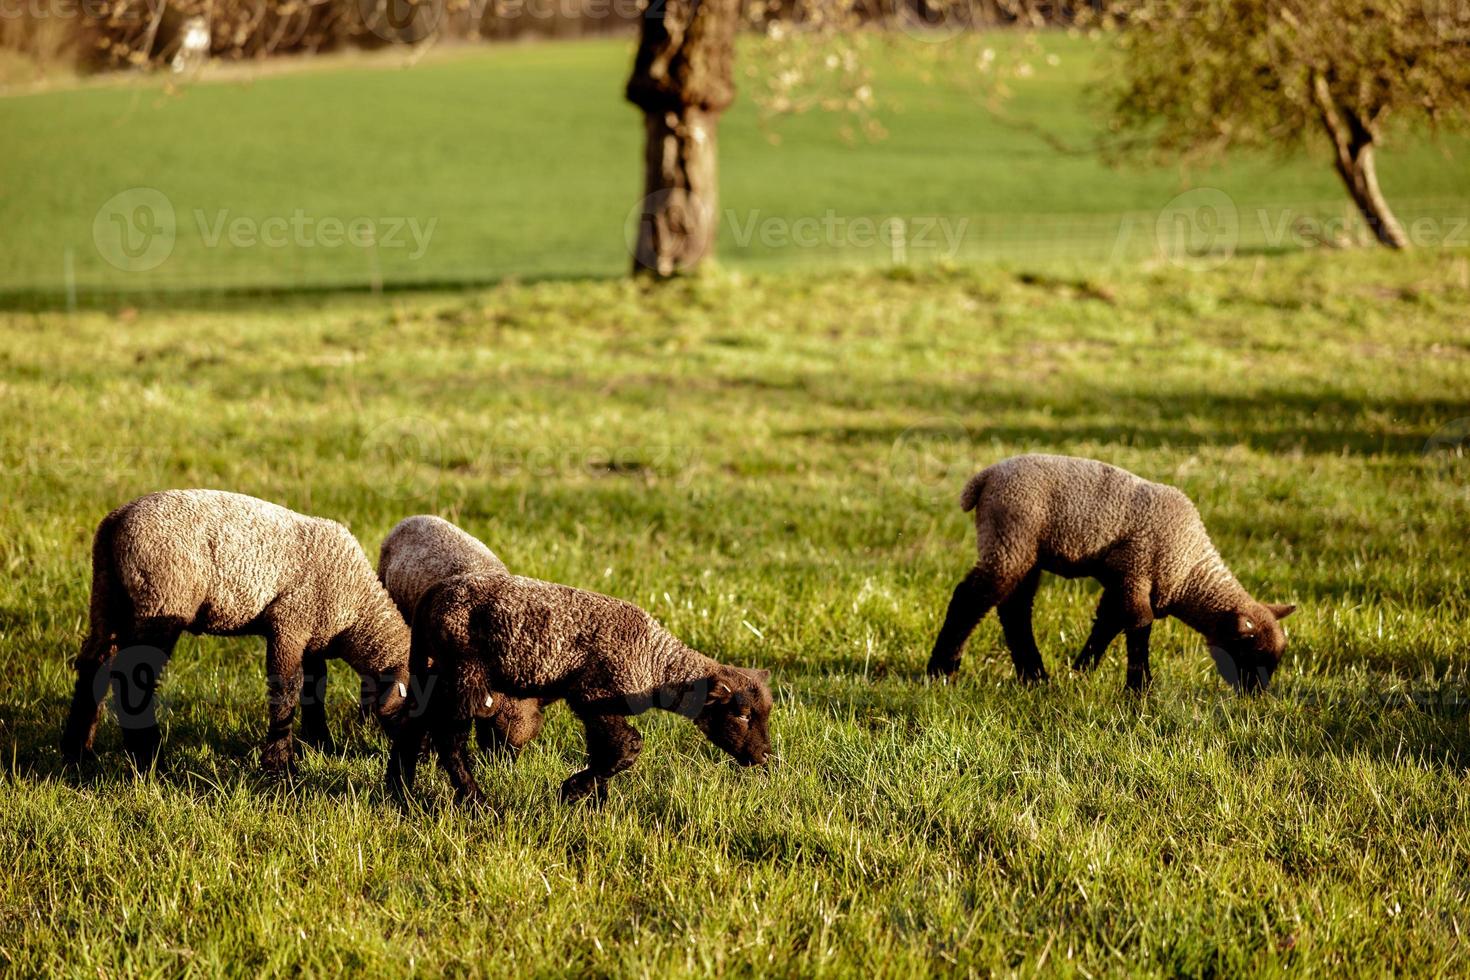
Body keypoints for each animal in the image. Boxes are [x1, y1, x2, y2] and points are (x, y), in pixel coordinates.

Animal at [59, 490, 411, 775]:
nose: (417, 758)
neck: (355, 608)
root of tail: (114, 522)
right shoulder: (290, 622)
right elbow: (286, 691)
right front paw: (280, 764)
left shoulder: (312, 637)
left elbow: (314, 691)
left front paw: (322, 745)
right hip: (161, 600)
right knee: (134, 681)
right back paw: (150, 760)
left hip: (107, 594)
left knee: (94, 663)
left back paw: (78, 752)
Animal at [391, 570, 782, 811]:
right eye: (742, 715)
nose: (764, 757)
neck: (655, 663)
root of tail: (432, 596)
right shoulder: (595, 695)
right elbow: (627, 748)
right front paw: (573, 791)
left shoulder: (600, 706)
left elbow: (605, 751)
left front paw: (594, 800)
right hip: (465, 671)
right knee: (449, 737)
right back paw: (475, 800)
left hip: (436, 669)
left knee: (414, 723)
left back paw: (400, 793)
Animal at [929, 455, 1299, 693]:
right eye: (1249, 654)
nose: (1256, 696)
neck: (1187, 569)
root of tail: (986, 477)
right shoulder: (1136, 570)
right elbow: (1138, 625)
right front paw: (1140, 688)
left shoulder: (1122, 578)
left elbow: (1107, 624)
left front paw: (1081, 672)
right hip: (1010, 537)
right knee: (970, 598)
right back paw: (942, 671)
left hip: (1025, 550)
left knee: (1015, 609)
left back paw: (1034, 677)